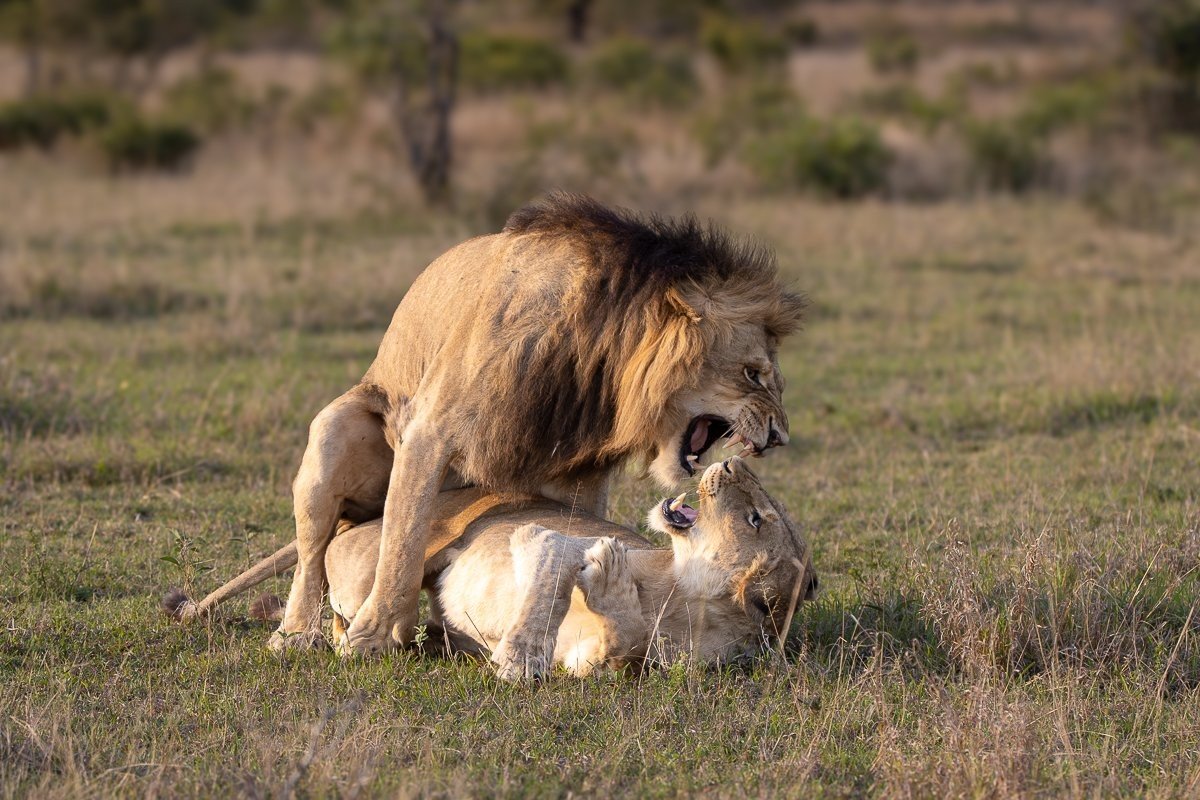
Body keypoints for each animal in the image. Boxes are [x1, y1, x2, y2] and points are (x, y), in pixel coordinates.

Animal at [164, 457, 817, 679]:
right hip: (397, 554)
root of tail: (358, 521)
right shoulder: (550, 537)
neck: (683, 604)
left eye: (756, 517)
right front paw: (516, 658)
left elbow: (607, 652)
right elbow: (552, 572)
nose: (729, 462)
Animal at [275, 192, 806, 656]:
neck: (597, 351)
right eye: (753, 373)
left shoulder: (580, 470)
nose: (779, 438)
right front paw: (374, 636)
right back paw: (296, 635)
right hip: (335, 430)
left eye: (775, 379)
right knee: (314, 554)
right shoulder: (429, 432)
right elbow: (401, 544)